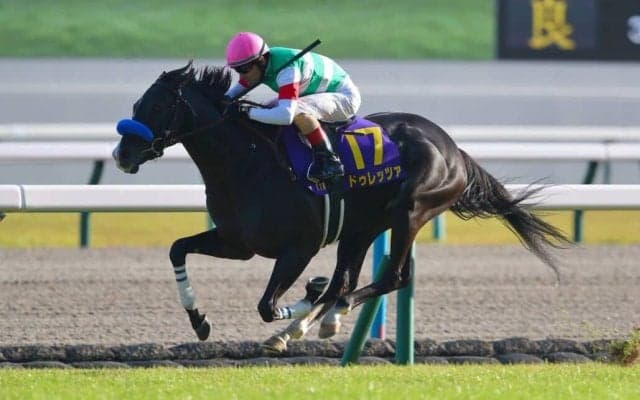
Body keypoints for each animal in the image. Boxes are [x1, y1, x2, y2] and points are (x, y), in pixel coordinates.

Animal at [112, 61, 570, 351]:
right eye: (137, 104)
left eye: (158, 105)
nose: (122, 154)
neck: (248, 161)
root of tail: (453, 147)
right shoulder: (237, 243)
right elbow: (177, 249)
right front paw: (200, 321)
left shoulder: (298, 248)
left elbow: (267, 305)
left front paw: (302, 301)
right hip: (361, 227)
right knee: (348, 281)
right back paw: (305, 322)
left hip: (410, 211)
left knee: (389, 278)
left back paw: (323, 316)